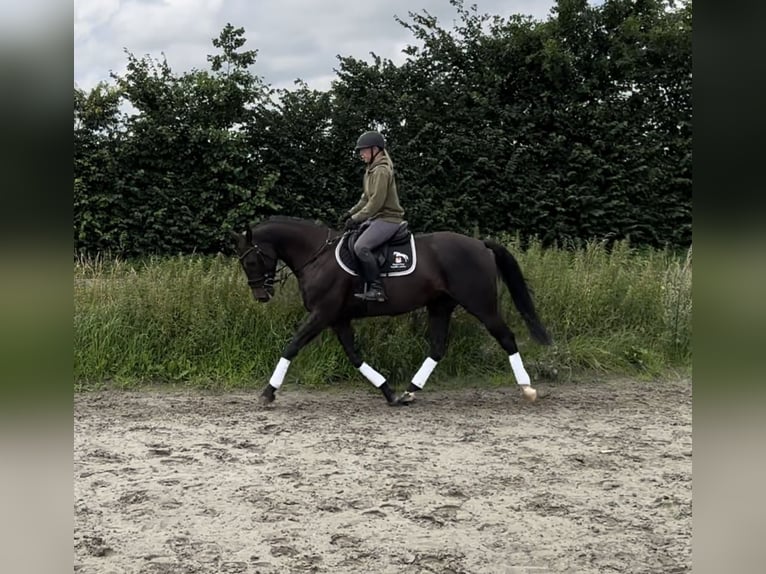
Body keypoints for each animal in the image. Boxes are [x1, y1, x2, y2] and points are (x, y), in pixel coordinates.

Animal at [231, 217, 556, 410]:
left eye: (251, 262)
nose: (261, 295)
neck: (316, 256)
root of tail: (480, 243)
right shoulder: (338, 318)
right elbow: (355, 357)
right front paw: (388, 391)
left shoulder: (322, 314)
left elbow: (292, 346)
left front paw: (268, 392)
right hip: (440, 305)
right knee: (437, 347)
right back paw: (410, 391)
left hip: (481, 304)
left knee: (506, 338)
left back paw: (527, 389)